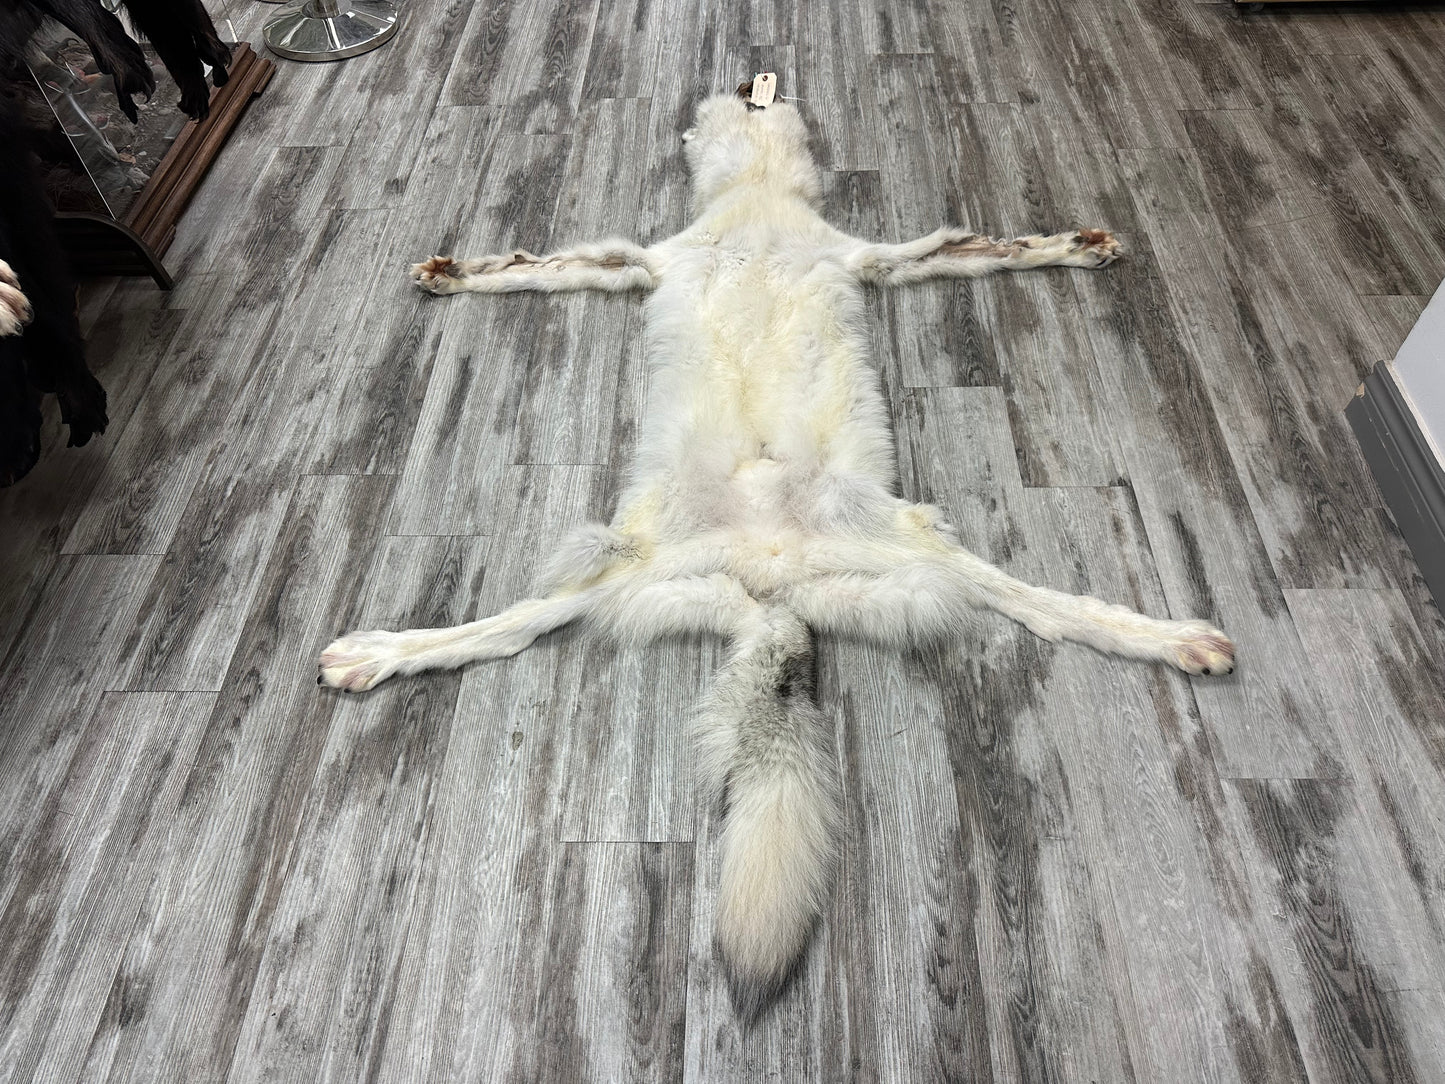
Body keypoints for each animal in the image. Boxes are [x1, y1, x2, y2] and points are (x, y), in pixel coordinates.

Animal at [319, 88, 1236, 1020]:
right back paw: (371, 654)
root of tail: (772, 581)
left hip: (887, 546)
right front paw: (451, 274)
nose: (750, 86)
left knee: (1041, 604)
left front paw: (1080, 246)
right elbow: (541, 267)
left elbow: (973, 251)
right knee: (509, 627)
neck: (757, 205)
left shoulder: (864, 255)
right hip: (647, 562)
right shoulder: (651, 258)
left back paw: (1177, 639)